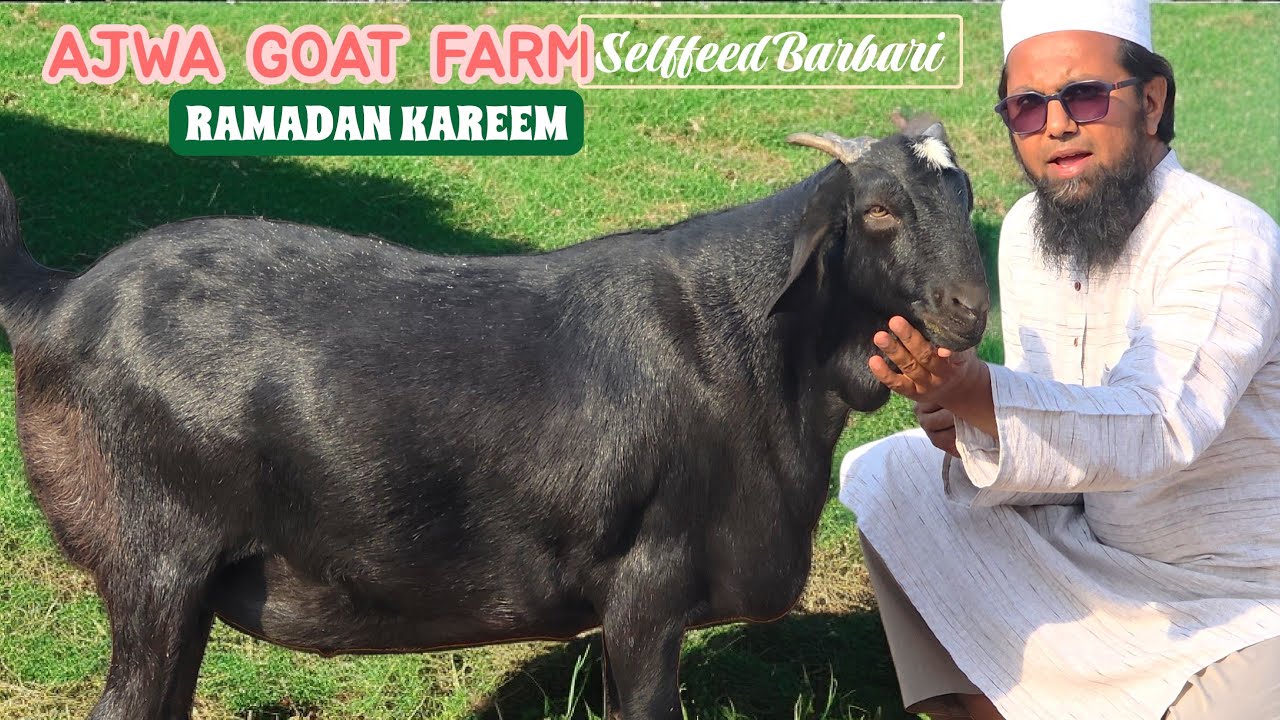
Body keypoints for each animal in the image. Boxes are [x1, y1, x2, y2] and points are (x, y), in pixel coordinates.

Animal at [0, 122, 988, 720]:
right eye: (879, 211)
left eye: (969, 197)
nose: (970, 309)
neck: (747, 346)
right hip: (154, 561)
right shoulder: (647, 586)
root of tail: (57, 301)